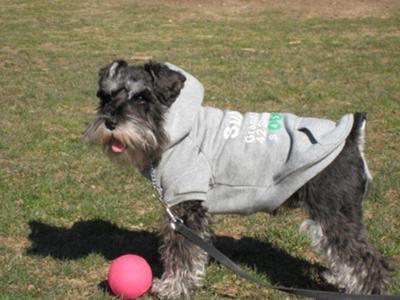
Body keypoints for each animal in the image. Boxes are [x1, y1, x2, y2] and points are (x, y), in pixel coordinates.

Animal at [83, 59, 392, 298]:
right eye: (105, 96)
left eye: (141, 97)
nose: (110, 122)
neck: (172, 130)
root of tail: (351, 137)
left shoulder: (185, 206)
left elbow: (181, 253)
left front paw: (172, 287)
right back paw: (341, 278)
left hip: (334, 212)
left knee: (368, 260)